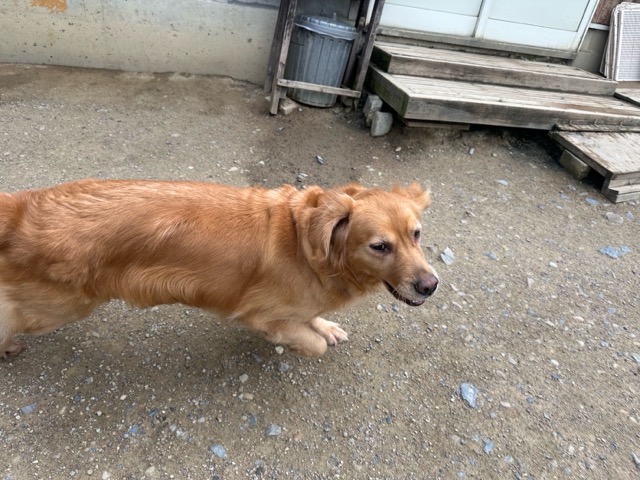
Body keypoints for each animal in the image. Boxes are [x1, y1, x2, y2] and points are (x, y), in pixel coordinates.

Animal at [0, 179, 438, 358]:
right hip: (57, 307)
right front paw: (311, 338)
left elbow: (312, 318)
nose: (430, 285)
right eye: (380, 246)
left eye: (417, 234)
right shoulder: (260, 314)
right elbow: (307, 342)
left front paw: (325, 326)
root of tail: (23, 207)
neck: (309, 246)